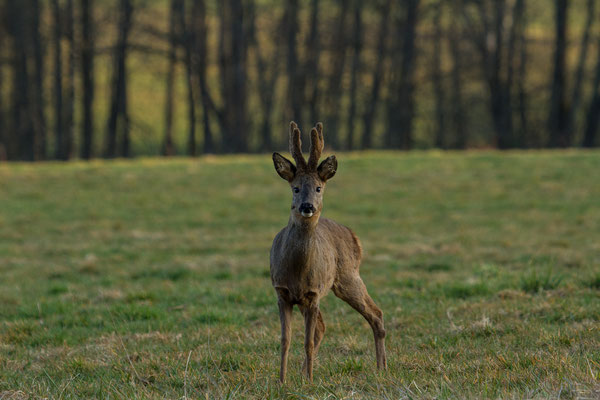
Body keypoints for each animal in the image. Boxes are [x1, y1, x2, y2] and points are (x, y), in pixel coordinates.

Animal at [270, 121, 386, 382]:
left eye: (318, 187)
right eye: (295, 188)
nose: (307, 206)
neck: (296, 270)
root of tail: (354, 236)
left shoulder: (313, 294)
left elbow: (307, 342)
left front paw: (310, 382)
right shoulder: (282, 292)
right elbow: (285, 340)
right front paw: (282, 380)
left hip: (348, 276)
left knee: (376, 313)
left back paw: (381, 368)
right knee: (323, 328)